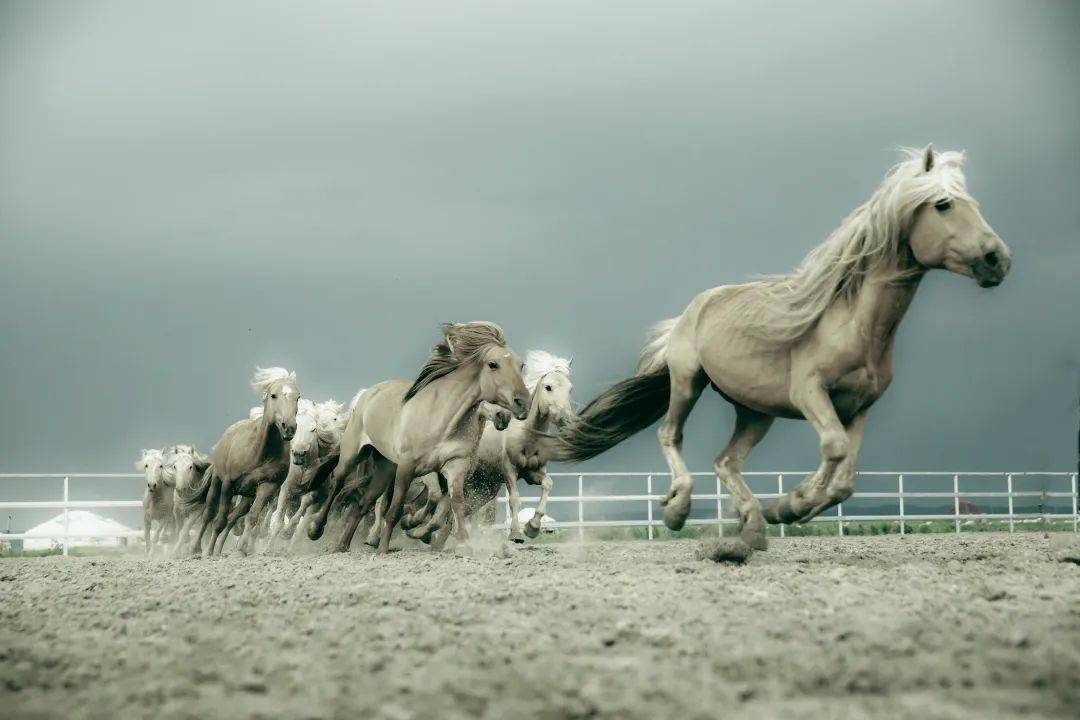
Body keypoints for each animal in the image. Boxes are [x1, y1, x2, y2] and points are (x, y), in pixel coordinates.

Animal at [181, 367, 300, 557]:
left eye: (298, 397)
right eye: (273, 395)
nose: (289, 427)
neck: (259, 453)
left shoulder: (268, 486)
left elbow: (252, 518)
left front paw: (241, 549)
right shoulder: (228, 484)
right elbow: (218, 521)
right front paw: (208, 551)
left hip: (246, 497)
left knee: (233, 519)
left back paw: (220, 550)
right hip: (217, 482)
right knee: (210, 514)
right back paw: (197, 549)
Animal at [308, 323, 531, 557]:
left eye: (521, 365)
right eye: (493, 364)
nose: (522, 404)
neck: (443, 420)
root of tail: (369, 393)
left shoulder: (455, 466)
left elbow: (455, 505)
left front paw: (463, 545)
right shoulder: (409, 468)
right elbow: (396, 509)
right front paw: (385, 548)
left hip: (385, 467)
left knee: (363, 502)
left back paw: (341, 546)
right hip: (353, 453)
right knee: (338, 481)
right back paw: (316, 529)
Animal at [548, 146, 1010, 552]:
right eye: (944, 204)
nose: (997, 259)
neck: (856, 325)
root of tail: (687, 314)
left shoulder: (860, 408)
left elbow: (845, 481)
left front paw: (784, 509)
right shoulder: (810, 394)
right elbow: (834, 448)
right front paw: (793, 504)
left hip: (755, 411)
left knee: (726, 461)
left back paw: (753, 523)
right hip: (688, 381)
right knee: (670, 434)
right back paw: (677, 510)